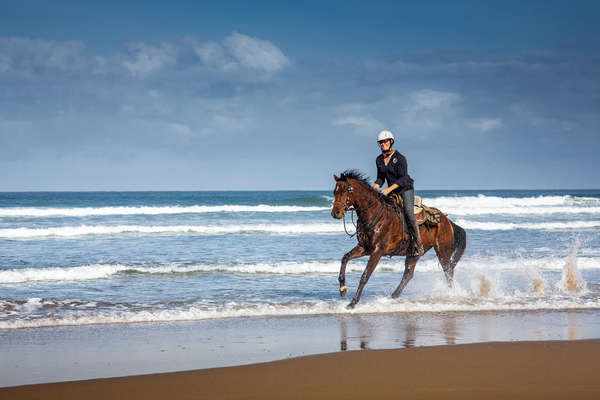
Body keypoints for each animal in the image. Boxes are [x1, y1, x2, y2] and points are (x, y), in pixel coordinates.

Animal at [330, 170, 466, 308]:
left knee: (448, 271)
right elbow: (345, 258)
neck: (374, 215)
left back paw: (450, 294)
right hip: (413, 254)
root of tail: (447, 220)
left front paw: (353, 303)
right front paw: (343, 288)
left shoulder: (377, 252)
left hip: (443, 251)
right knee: (408, 274)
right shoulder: (365, 248)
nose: (335, 213)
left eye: (345, 191)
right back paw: (393, 296)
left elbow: (365, 275)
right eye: (335, 192)